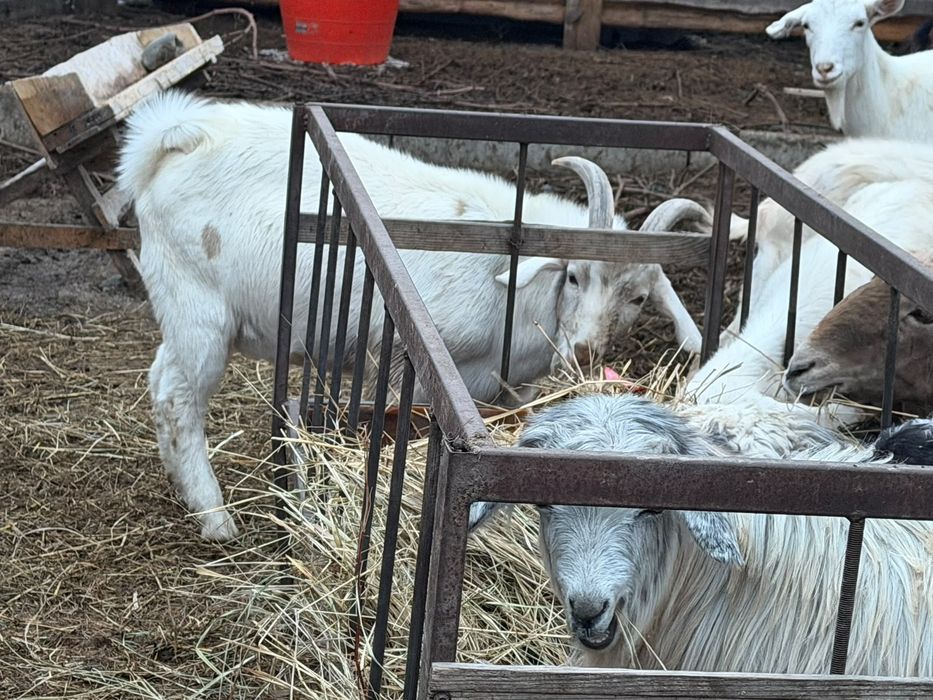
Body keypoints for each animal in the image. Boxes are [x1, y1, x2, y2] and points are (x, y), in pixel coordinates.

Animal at [118, 91, 704, 540]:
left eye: (638, 298)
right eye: (576, 276)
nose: (584, 350)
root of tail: (177, 136)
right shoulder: (419, 364)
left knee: (160, 379)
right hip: (198, 307)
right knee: (178, 399)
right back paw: (216, 518)